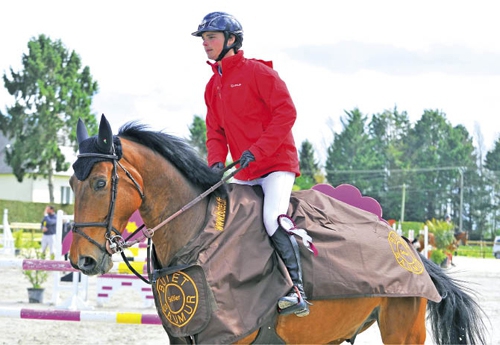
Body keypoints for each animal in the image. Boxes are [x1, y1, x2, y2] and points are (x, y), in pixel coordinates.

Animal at [68, 116, 486, 344]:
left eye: (101, 183)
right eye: (71, 183)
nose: (81, 261)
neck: (200, 236)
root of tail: (408, 246)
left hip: (404, 331)